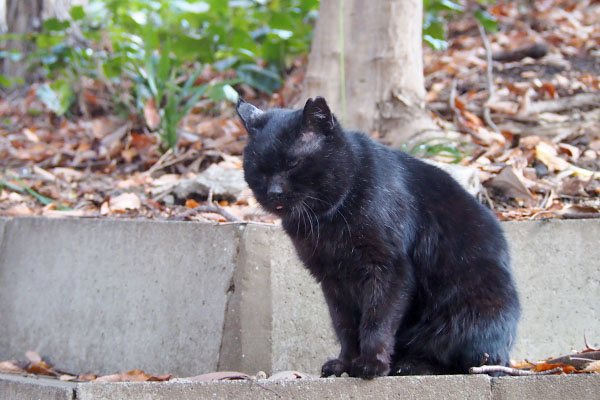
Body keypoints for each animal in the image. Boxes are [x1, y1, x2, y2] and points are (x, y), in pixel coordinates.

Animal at [237, 96, 516, 378]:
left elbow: (377, 320)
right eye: (258, 169)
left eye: (293, 164)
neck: (327, 220)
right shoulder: (333, 280)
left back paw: (409, 365)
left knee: (468, 362)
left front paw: (372, 363)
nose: (273, 192)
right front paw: (345, 364)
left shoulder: (389, 268)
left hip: (467, 310)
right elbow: (345, 327)